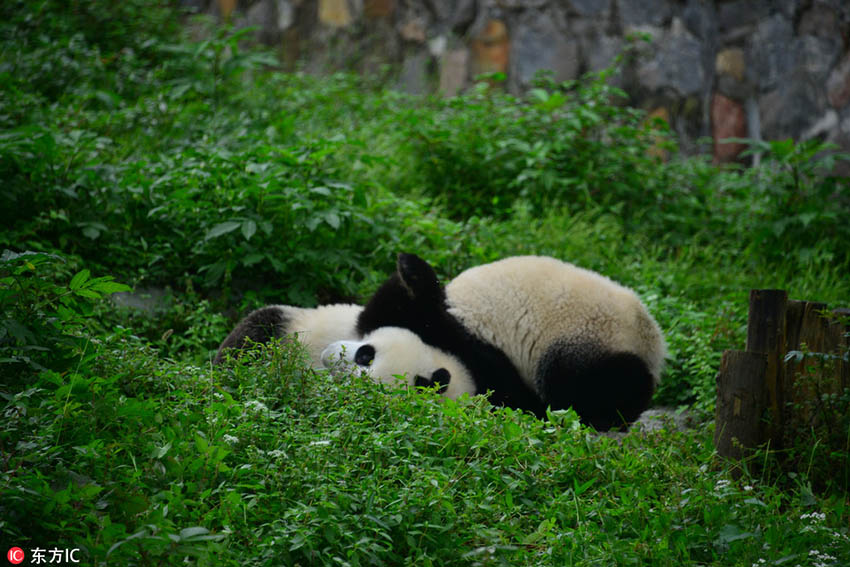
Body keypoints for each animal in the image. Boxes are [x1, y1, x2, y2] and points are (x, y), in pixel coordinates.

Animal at [322, 253, 664, 430]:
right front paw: (410, 270)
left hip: (585, 344)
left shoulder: (476, 351)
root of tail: (654, 349)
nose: (329, 356)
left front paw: (412, 269)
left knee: (594, 384)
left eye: (365, 357)